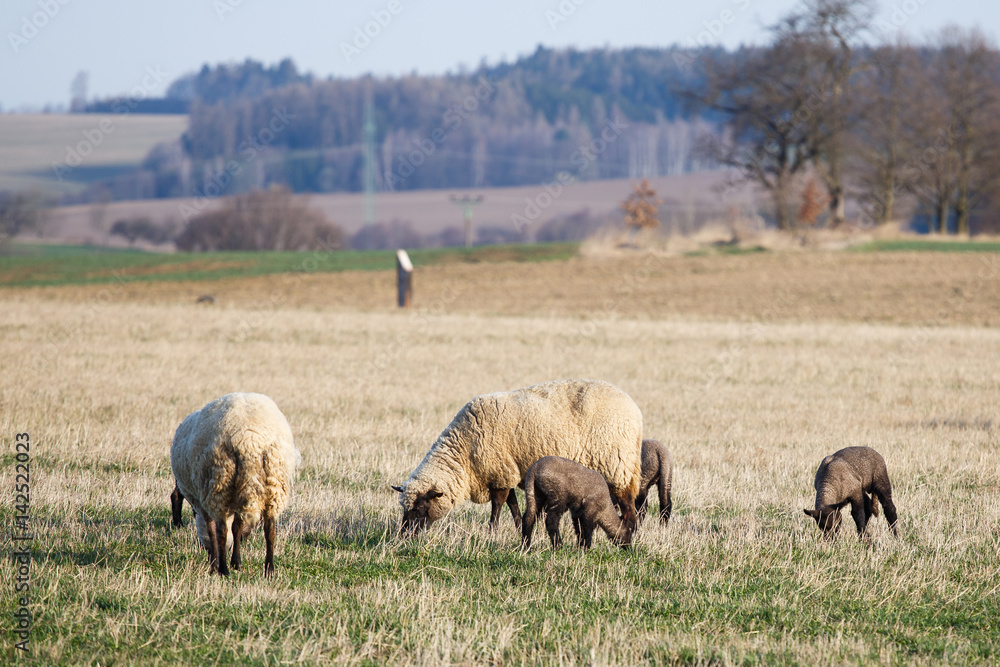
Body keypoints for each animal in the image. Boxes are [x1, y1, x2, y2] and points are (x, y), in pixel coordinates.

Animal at [170, 394, 300, 576]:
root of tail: (248, 440)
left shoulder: (204, 501)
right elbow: (237, 528)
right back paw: (269, 569)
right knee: (270, 529)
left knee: (221, 530)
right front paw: (236, 562)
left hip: (219, 484)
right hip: (274, 484)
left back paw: (223, 569)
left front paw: (216, 564)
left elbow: (213, 531)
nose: (205, 550)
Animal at [390, 380, 640, 536]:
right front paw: (520, 527)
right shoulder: (505, 471)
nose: (403, 536)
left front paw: (492, 533)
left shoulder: (500, 472)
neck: (464, 453)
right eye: (404, 508)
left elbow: (498, 506)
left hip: (617, 464)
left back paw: (629, 532)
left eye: (420, 507)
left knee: (628, 506)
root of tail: (634, 409)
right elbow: (512, 505)